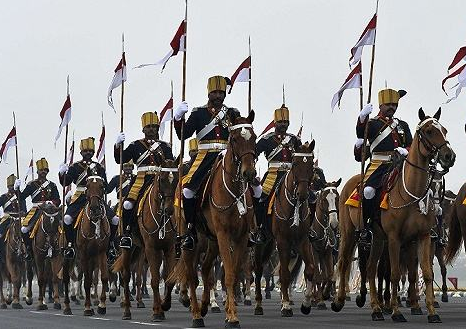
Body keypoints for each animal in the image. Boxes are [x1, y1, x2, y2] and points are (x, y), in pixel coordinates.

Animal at [113, 157, 178, 322]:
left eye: (175, 180)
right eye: (162, 179)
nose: (169, 209)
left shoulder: (169, 248)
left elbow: (169, 279)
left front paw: (164, 305)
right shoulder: (151, 248)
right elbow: (154, 280)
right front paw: (157, 312)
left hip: (140, 249)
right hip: (128, 248)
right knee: (126, 276)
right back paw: (127, 311)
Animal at [169, 109, 258, 328]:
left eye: (253, 137)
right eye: (234, 139)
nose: (249, 173)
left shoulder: (241, 237)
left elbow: (233, 273)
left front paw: (229, 313)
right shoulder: (224, 234)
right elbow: (229, 274)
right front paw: (232, 317)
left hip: (210, 241)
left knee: (207, 269)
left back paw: (203, 307)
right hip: (192, 242)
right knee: (192, 274)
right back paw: (196, 315)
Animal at [270, 141, 316, 316]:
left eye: (311, 165)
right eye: (295, 163)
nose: (302, 194)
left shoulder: (302, 241)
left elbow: (309, 270)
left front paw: (306, 304)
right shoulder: (282, 242)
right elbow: (284, 274)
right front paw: (285, 306)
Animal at [334, 107, 456, 322]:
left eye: (444, 130)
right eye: (429, 131)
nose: (449, 156)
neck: (411, 192)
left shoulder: (422, 237)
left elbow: (426, 273)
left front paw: (431, 312)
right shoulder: (394, 238)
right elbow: (394, 274)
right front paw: (396, 311)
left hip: (377, 238)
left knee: (371, 268)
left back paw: (376, 309)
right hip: (350, 234)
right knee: (344, 263)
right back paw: (341, 301)